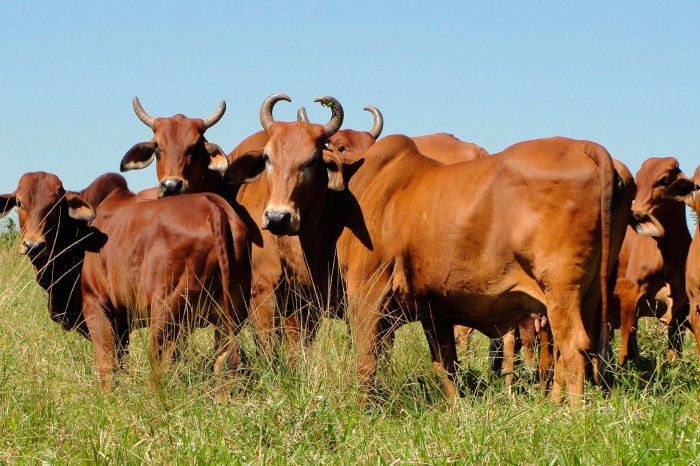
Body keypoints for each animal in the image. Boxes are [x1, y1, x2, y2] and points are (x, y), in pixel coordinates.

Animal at [0, 173, 252, 398]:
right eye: (19, 202)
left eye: (56, 205)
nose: (33, 245)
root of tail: (214, 208)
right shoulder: (121, 323)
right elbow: (120, 364)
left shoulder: (96, 307)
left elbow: (107, 365)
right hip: (228, 314)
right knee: (227, 359)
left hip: (167, 314)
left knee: (160, 364)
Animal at [226, 94, 628, 404]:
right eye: (268, 158)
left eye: (311, 160)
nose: (278, 217)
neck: (349, 200)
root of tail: (587, 149)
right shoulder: (434, 310)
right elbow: (443, 364)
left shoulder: (367, 294)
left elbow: (367, 360)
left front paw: (362, 409)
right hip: (588, 295)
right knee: (573, 350)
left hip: (560, 290)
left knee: (573, 348)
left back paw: (568, 414)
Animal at [608, 158, 692, 366]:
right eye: (637, 182)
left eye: (664, 180)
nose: (635, 213)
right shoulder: (630, 294)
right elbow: (626, 345)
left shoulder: (681, 309)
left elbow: (674, 353)